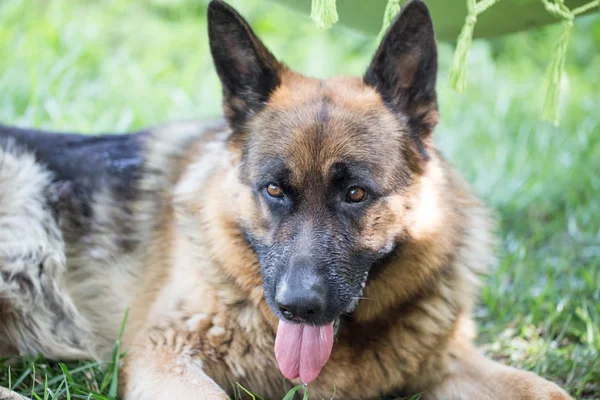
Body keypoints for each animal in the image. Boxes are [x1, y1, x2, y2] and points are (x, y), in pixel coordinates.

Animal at [0, 1, 572, 398]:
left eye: (356, 194)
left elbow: (548, 389)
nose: (299, 307)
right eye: (274, 189)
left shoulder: (448, 361)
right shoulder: (164, 352)